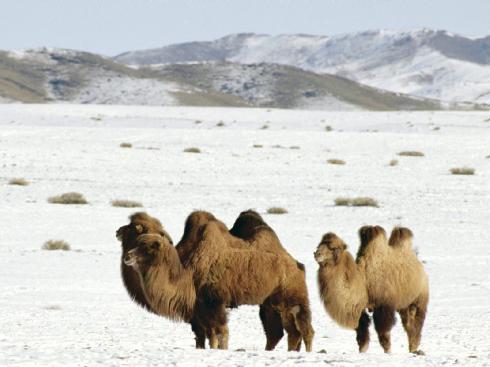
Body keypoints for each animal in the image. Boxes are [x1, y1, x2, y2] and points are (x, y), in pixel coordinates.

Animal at [316, 226, 426, 356]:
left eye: (333, 248)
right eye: (319, 245)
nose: (317, 254)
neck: (364, 282)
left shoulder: (383, 305)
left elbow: (383, 332)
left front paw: (388, 351)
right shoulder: (359, 308)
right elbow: (362, 331)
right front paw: (362, 350)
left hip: (420, 298)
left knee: (416, 321)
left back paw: (414, 348)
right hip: (404, 303)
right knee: (408, 323)